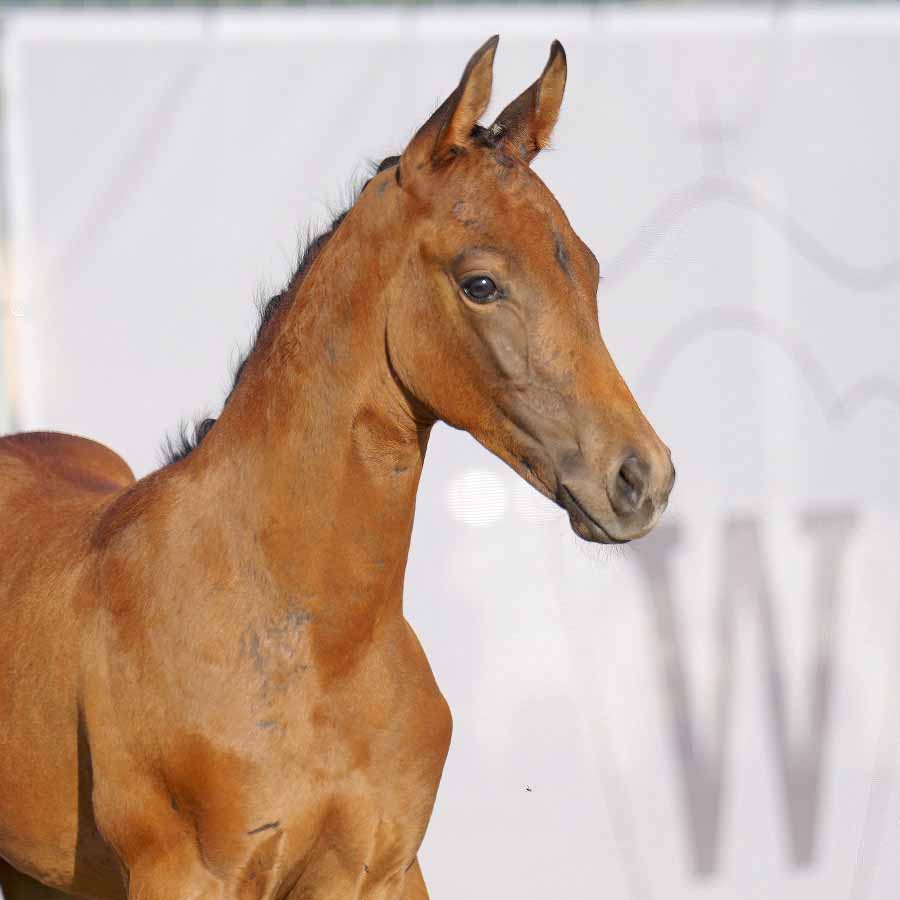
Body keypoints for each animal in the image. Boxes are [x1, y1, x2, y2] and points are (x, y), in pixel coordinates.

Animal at [0, 36, 674, 900]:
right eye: (480, 282)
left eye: (585, 268)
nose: (642, 478)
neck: (315, 640)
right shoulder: (187, 875)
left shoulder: (383, 867)